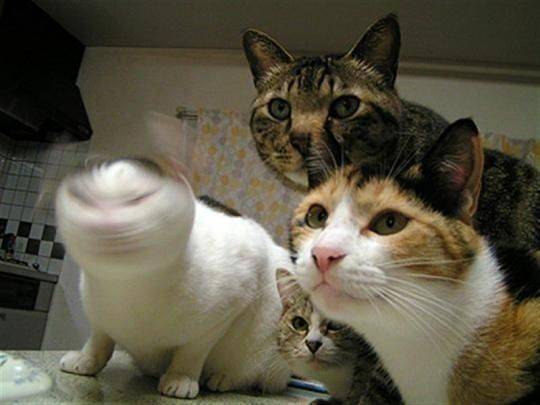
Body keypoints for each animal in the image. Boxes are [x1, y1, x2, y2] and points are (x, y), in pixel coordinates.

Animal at [55, 157, 291, 399]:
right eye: (83, 199)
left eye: (140, 198)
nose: (105, 222)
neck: (129, 286)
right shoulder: (96, 314)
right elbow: (99, 338)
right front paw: (87, 359)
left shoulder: (228, 307)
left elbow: (192, 352)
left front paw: (181, 377)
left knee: (251, 373)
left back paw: (223, 377)